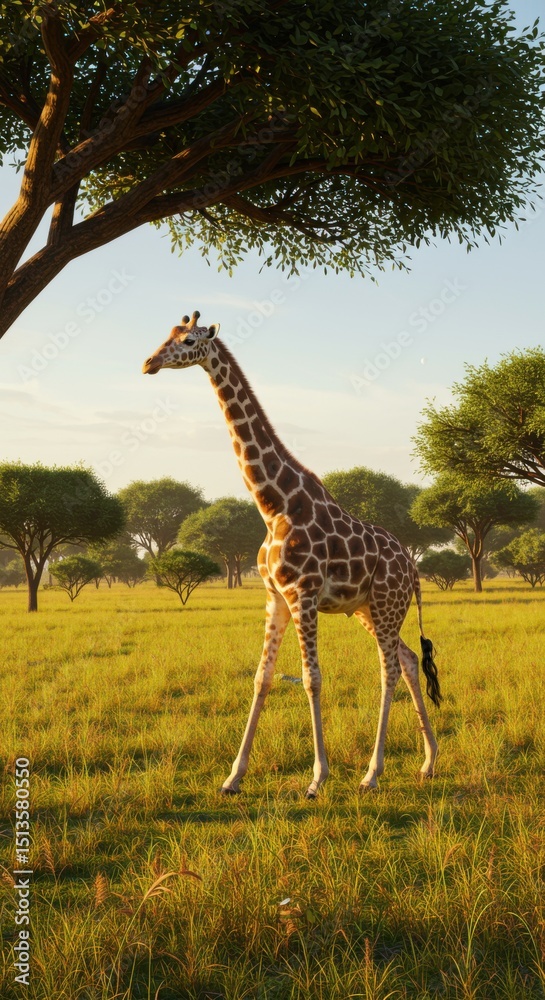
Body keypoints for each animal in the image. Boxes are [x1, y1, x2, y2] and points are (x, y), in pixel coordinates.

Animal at [142, 310, 441, 798]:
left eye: (187, 340)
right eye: (165, 334)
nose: (148, 363)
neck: (274, 504)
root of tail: (412, 569)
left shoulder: (303, 594)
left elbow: (311, 679)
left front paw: (317, 778)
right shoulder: (275, 597)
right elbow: (261, 678)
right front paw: (233, 776)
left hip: (385, 604)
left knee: (389, 670)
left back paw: (372, 773)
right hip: (369, 609)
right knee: (410, 660)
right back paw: (429, 761)